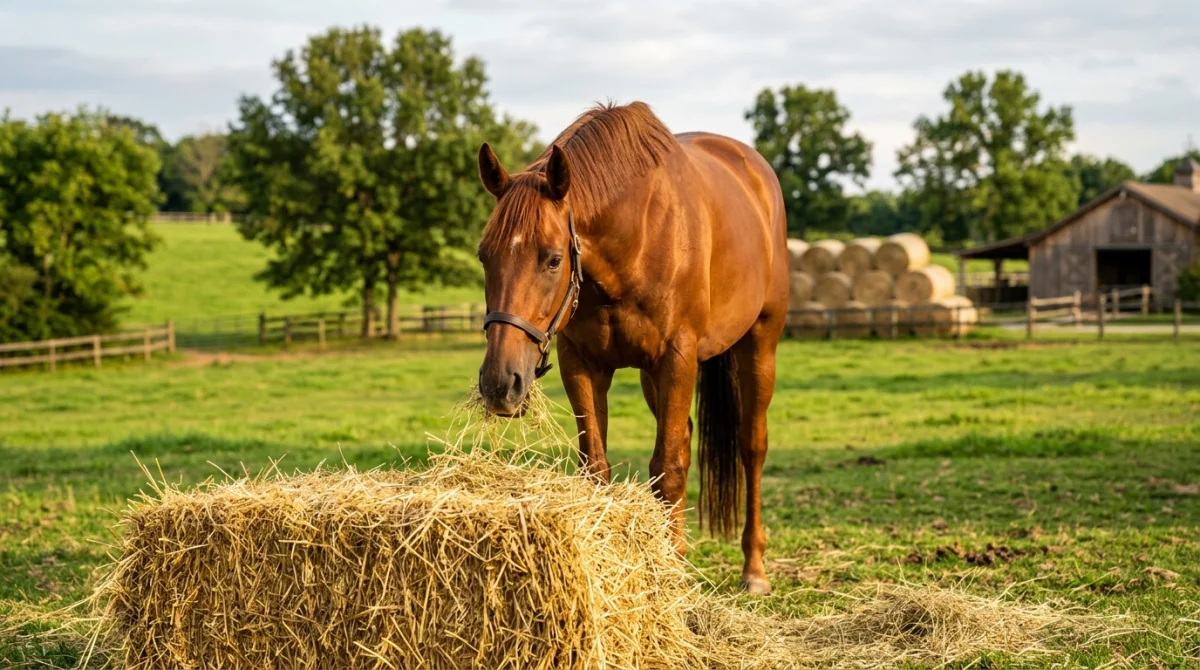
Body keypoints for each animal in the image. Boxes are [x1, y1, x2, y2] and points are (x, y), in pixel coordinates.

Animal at [474, 101, 788, 595]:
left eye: (553, 259)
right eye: (485, 255)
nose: (499, 384)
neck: (634, 238)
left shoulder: (677, 359)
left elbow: (669, 471)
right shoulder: (582, 365)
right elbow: (600, 467)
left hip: (759, 343)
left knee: (751, 445)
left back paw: (753, 569)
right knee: (684, 441)